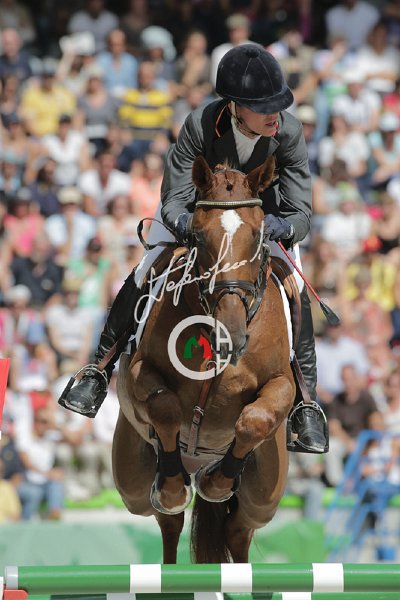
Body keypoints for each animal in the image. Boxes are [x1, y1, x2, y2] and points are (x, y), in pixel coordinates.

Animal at [112, 154, 297, 564]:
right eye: (197, 237)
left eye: (258, 236)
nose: (232, 332)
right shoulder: (139, 374)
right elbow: (165, 407)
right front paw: (174, 488)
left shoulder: (281, 384)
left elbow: (256, 419)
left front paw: (216, 483)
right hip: (132, 479)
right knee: (168, 518)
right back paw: (173, 489)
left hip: (264, 495)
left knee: (238, 528)